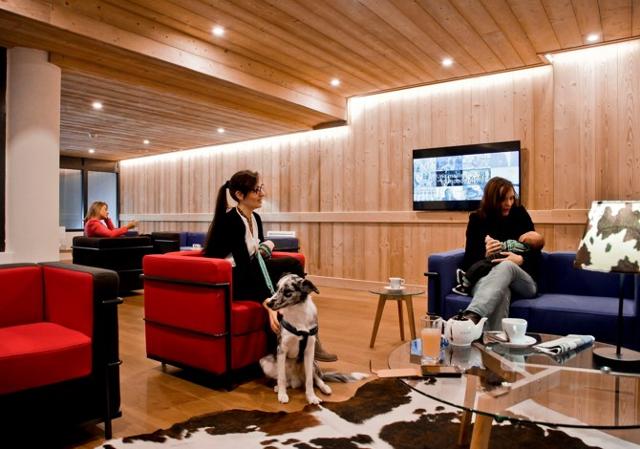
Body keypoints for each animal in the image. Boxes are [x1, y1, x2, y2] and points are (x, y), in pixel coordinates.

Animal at [260, 274, 367, 405]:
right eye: (277, 288)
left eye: (288, 292)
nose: (268, 303)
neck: (297, 313)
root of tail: (296, 381)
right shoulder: (282, 350)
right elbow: (281, 377)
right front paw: (282, 394)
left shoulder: (309, 351)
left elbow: (310, 381)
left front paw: (312, 397)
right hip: (264, 363)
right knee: (287, 380)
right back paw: (279, 387)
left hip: (314, 363)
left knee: (317, 378)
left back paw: (325, 387)